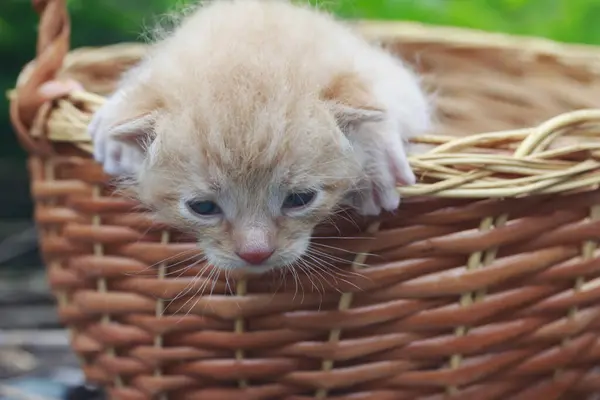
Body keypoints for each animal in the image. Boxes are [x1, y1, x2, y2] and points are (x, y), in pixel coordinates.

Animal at [88, 0, 432, 272]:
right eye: (203, 207)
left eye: (299, 199)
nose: (255, 253)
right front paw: (111, 124)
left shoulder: (392, 79)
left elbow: (389, 104)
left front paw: (375, 165)